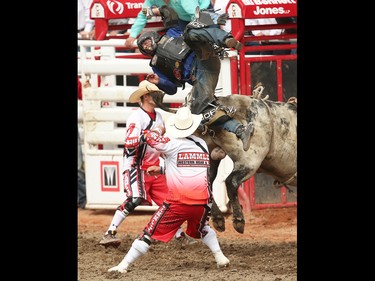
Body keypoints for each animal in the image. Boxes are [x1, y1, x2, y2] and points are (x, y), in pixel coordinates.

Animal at [150, 91, 296, 233]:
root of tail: (219, 103)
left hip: (208, 156)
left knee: (207, 182)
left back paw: (218, 218)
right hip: (250, 160)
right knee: (231, 181)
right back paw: (238, 219)